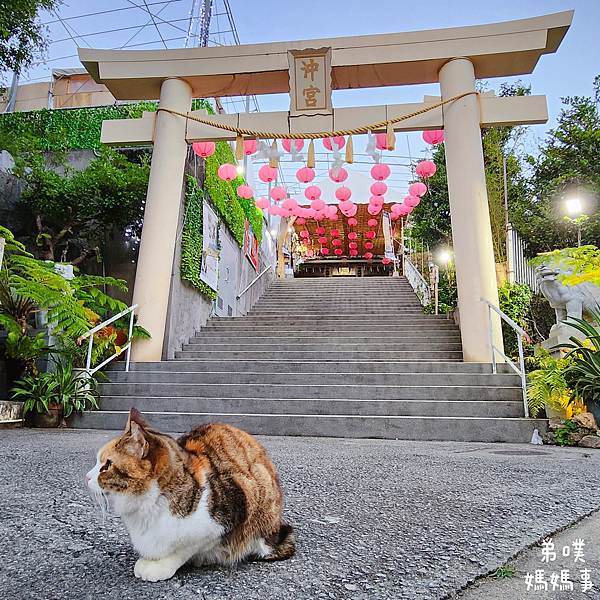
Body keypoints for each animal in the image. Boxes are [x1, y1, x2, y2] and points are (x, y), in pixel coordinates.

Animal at [86, 408, 296, 580]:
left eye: (106, 465)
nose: (86, 477)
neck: (147, 504)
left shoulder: (229, 512)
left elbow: (184, 548)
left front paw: (160, 566)